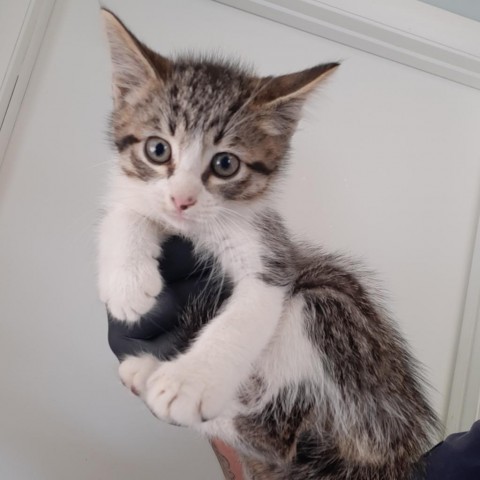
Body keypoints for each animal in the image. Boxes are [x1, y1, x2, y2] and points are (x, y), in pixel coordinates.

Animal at [99, 8, 440, 480]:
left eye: (225, 164)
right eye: (157, 149)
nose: (182, 200)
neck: (198, 228)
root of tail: (399, 454)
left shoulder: (274, 256)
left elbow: (246, 317)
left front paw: (190, 382)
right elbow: (126, 212)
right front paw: (127, 284)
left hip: (332, 311)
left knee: (277, 438)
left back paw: (162, 381)